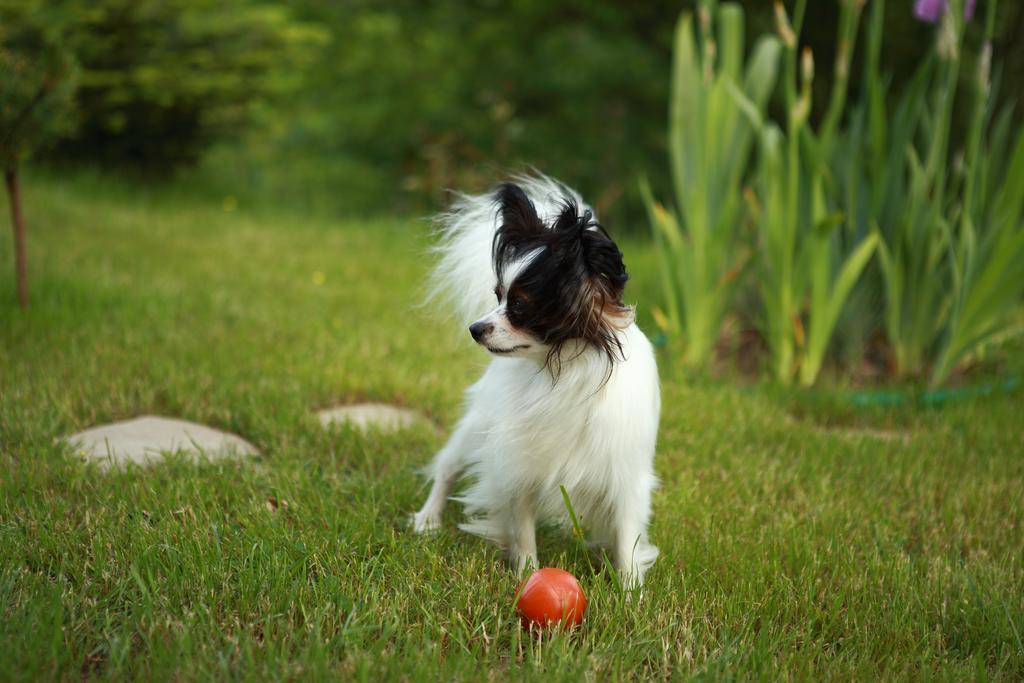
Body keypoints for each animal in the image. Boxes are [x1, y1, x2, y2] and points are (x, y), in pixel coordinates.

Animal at [411, 174, 659, 589]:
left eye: (519, 306)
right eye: (497, 295)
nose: (475, 329)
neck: (562, 373)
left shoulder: (624, 473)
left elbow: (627, 541)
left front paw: (629, 593)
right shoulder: (518, 462)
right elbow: (522, 528)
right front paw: (528, 576)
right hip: (476, 428)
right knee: (447, 466)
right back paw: (427, 519)